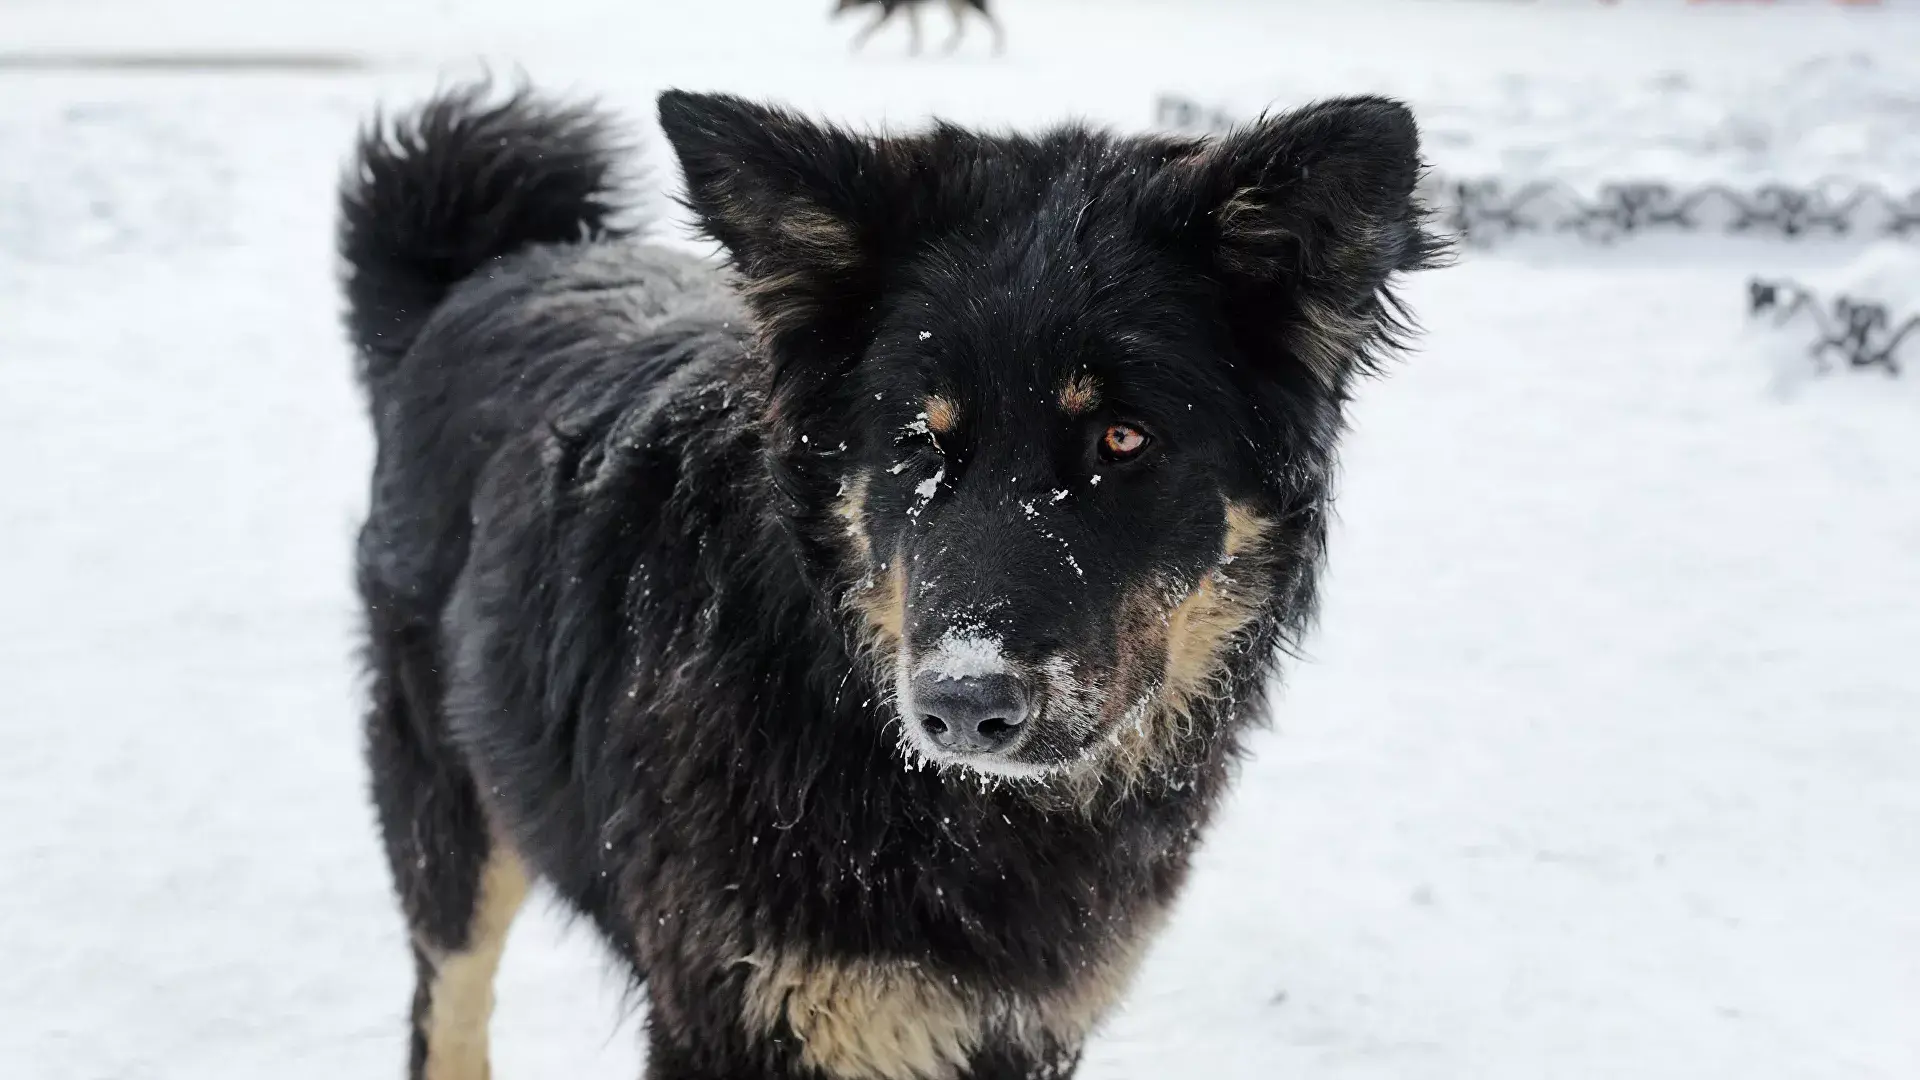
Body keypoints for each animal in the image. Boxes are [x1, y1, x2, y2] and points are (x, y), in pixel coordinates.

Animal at [341, 79, 1443, 1068]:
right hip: (452, 826)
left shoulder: (1017, 1027)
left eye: (1123, 439)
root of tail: (491, 270)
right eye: (920, 440)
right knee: (448, 1017)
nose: (963, 703)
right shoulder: (734, 1014)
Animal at [837, 0, 1013, 55]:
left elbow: (871, 27)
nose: (831, 13)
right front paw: (914, 50)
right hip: (955, 5)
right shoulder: (908, 8)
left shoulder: (892, 7)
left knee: (994, 23)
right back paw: (947, 48)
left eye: (840, 1)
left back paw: (998, 48)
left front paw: (855, 43)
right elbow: (915, 30)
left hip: (966, 4)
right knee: (961, 27)